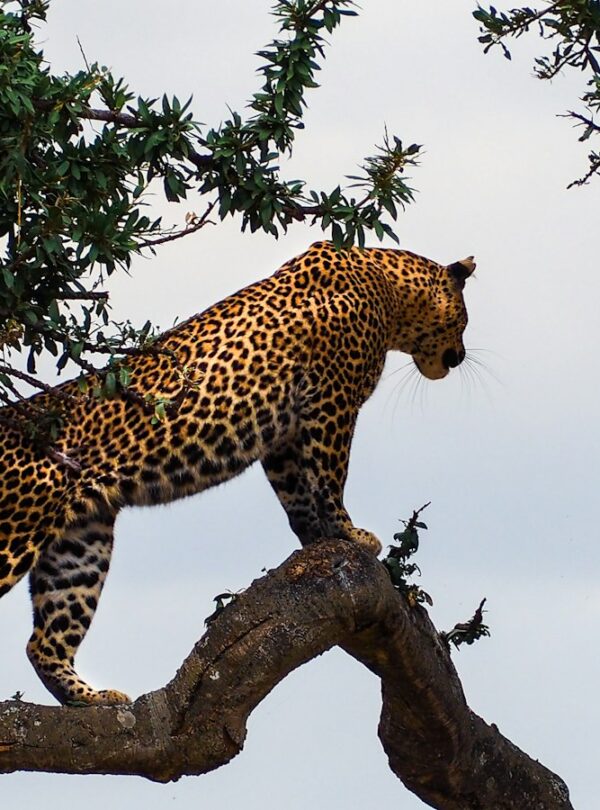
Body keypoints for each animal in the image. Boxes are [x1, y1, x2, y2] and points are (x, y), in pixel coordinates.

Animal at [0, 240, 474, 706]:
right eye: (465, 321)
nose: (461, 357)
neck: (388, 288)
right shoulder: (332, 402)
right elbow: (330, 475)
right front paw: (351, 533)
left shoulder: (286, 435)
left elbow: (298, 495)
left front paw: (317, 539)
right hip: (16, 531)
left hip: (80, 544)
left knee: (43, 642)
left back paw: (91, 697)